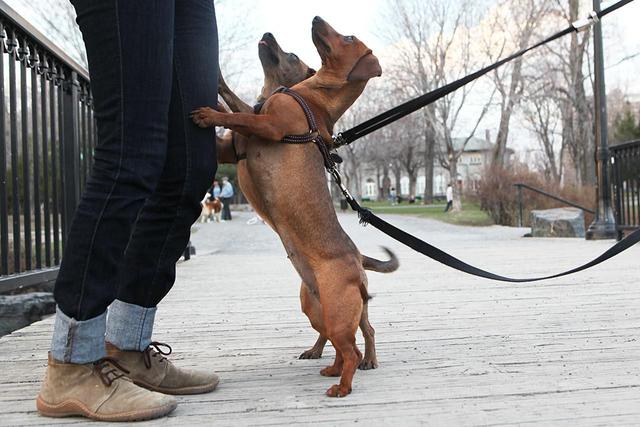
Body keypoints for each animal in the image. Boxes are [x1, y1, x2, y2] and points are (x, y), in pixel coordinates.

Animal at [195, 17, 382, 398]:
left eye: (348, 37)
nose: (316, 18)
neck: (311, 98)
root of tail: (357, 264)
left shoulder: (267, 126)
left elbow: (239, 115)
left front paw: (209, 113)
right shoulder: (232, 149)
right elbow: (235, 106)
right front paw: (218, 84)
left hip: (337, 314)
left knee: (355, 346)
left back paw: (344, 384)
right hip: (318, 310)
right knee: (342, 343)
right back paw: (331, 367)